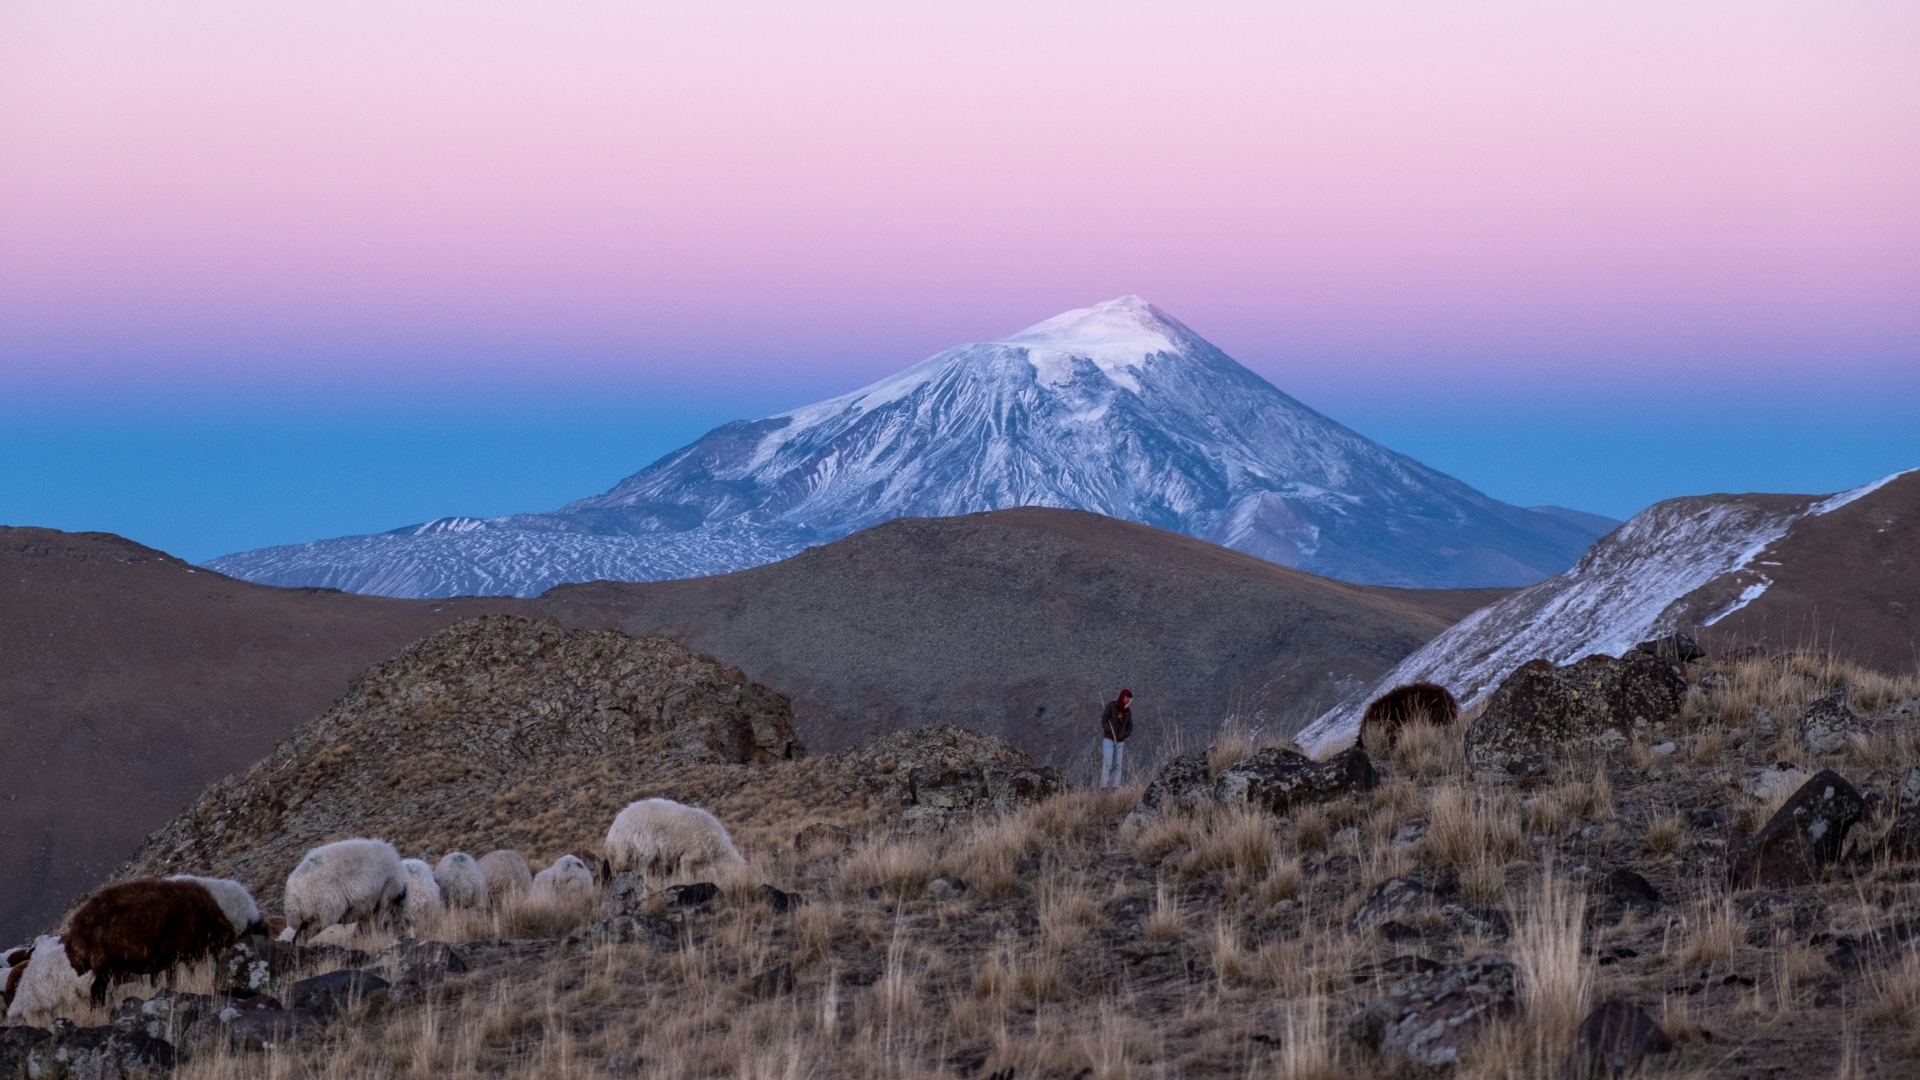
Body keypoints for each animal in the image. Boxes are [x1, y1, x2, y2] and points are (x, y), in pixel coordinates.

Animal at [62, 876, 240, 999]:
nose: (231, 938)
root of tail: (75, 931)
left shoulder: (180, 958)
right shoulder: (171, 956)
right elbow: (172, 981)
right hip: (105, 964)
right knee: (97, 990)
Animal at [606, 791, 741, 883]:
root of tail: (614, 833)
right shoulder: (691, 853)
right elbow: (686, 870)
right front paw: (687, 881)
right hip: (642, 846)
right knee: (642, 869)